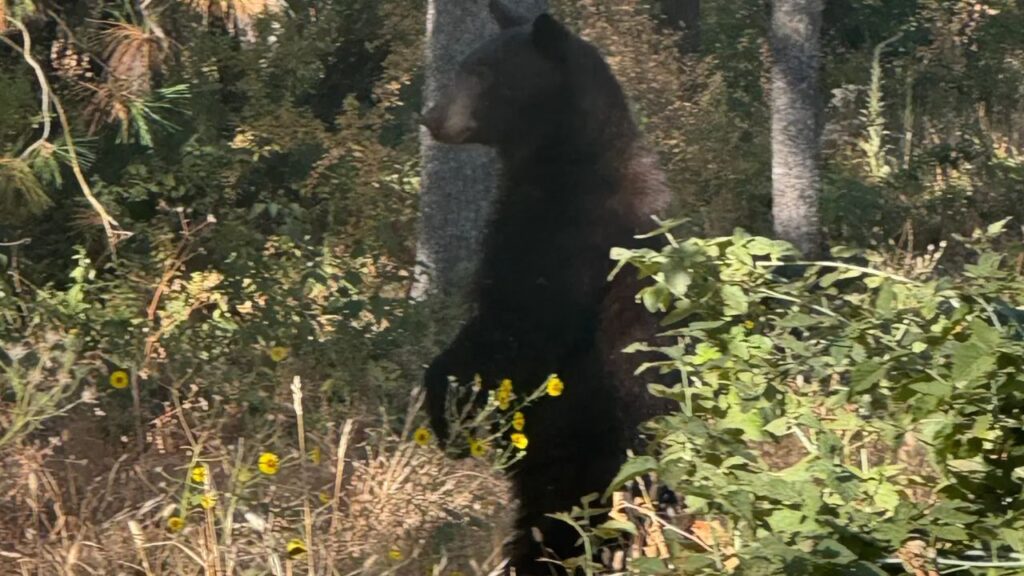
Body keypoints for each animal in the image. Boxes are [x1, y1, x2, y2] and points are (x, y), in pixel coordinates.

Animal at [421, 2, 674, 573]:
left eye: (482, 72)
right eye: (465, 65)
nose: (430, 116)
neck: (560, 162)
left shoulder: (569, 243)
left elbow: (517, 326)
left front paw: (450, 412)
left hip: (592, 447)